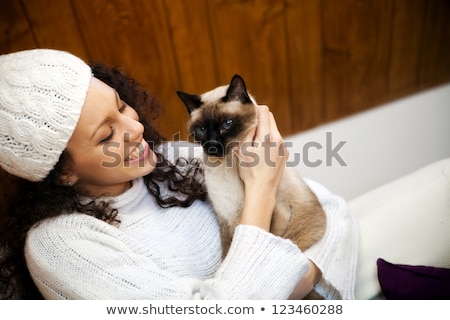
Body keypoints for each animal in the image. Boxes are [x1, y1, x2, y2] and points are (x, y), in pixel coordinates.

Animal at [178, 74, 328, 298]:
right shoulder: (226, 220)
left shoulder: (275, 217)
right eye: (202, 130)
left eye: (227, 124)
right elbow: (227, 256)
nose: (213, 146)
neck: (225, 167)